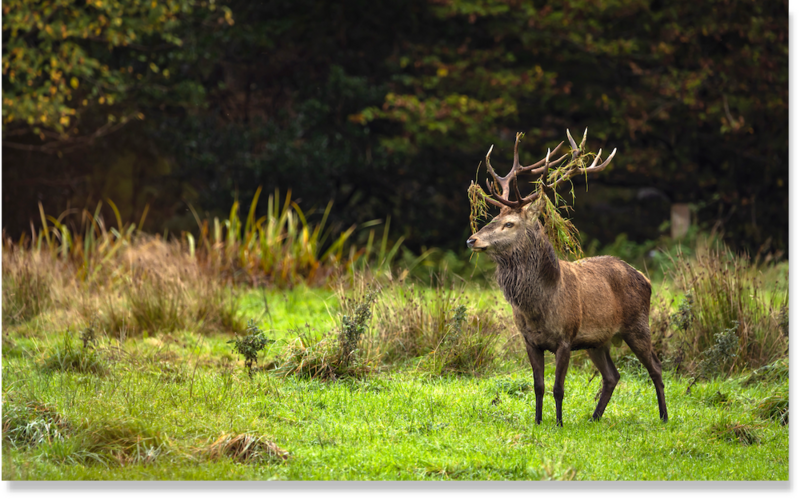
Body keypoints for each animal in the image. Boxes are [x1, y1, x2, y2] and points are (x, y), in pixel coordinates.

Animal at [466, 130, 667, 427]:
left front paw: (559, 424)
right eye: (493, 217)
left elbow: (558, 388)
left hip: (638, 324)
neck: (538, 306)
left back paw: (664, 416)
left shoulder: (566, 337)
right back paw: (594, 418)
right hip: (598, 341)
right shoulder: (530, 340)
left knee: (656, 367)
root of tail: (645, 278)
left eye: (509, 223)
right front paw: (538, 422)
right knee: (612, 375)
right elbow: (538, 386)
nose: (472, 239)